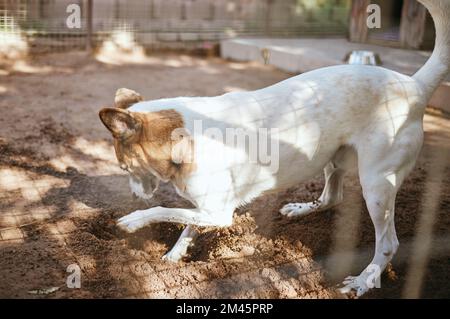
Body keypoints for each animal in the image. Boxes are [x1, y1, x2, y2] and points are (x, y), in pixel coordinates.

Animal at [99, 0, 450, 298]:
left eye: (126, 167)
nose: (135, 196)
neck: (185, 139)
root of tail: (414, 85)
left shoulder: (219, 213)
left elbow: (167, 212)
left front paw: (133, 221)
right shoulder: (208, 207)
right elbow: (188, 225)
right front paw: (174, 255)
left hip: (377, 185)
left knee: (389, 242)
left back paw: (364, 281)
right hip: (333, 157)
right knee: (333, 196)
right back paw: (302, 209)